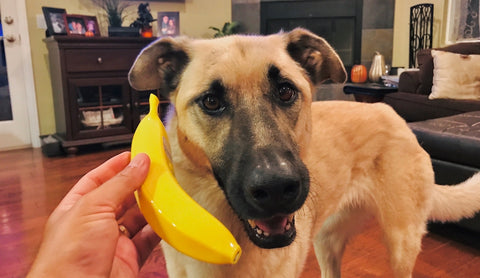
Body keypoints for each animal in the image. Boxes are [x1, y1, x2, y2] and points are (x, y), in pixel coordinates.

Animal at [129, 28, 480, 278]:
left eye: (286, 91)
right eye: (211, 102)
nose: (276, 189)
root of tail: (395, 117)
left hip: (401, 244)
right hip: (327, 242)